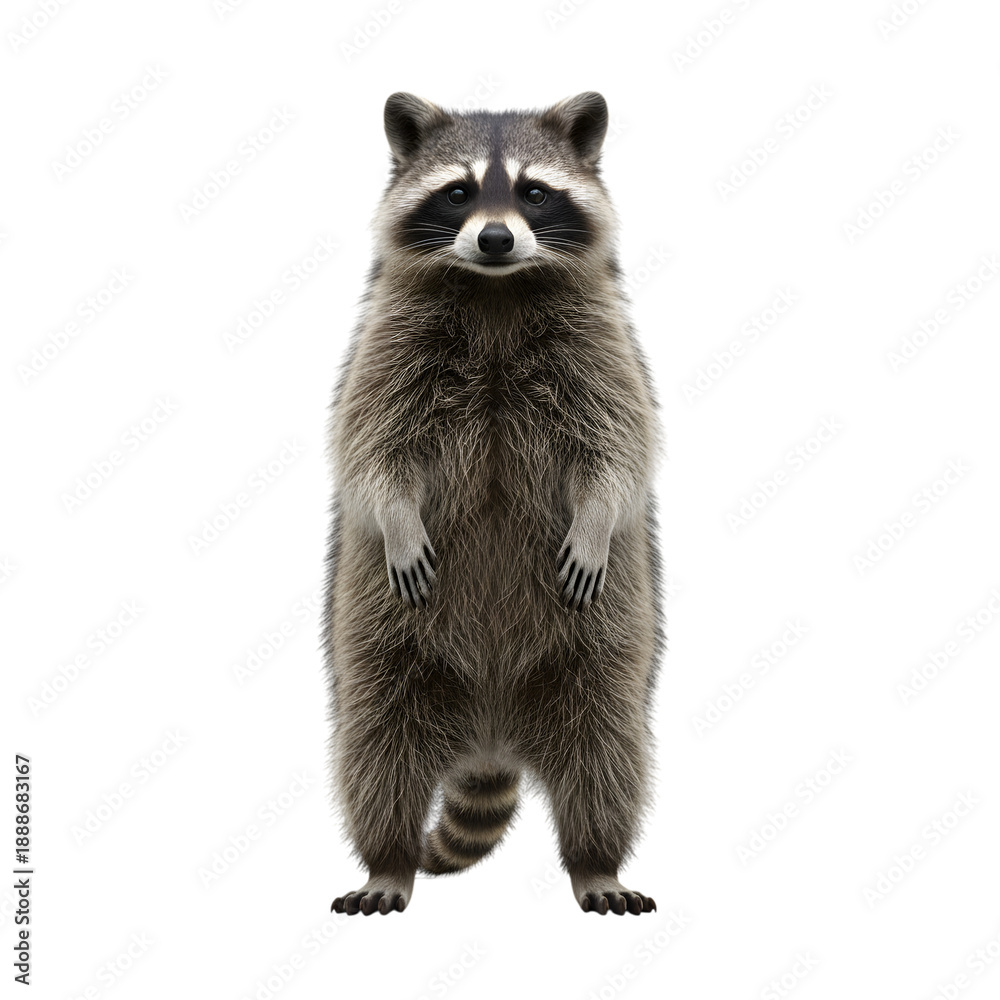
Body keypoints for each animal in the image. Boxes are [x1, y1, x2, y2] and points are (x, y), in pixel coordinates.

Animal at [324, 91, 664, 916]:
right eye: (459, 192)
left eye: (535, 192)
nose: (497, 236)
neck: (497, 289)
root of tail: (491, 731)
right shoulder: (387, 341)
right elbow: (371, 450)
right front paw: (398, 520)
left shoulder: (603, 343)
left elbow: (619, 448)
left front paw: (598, 520)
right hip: (378, 633)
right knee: (378, 746)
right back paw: (386, 860)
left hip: (606, 635)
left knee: (605, 749)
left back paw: (596, 860)